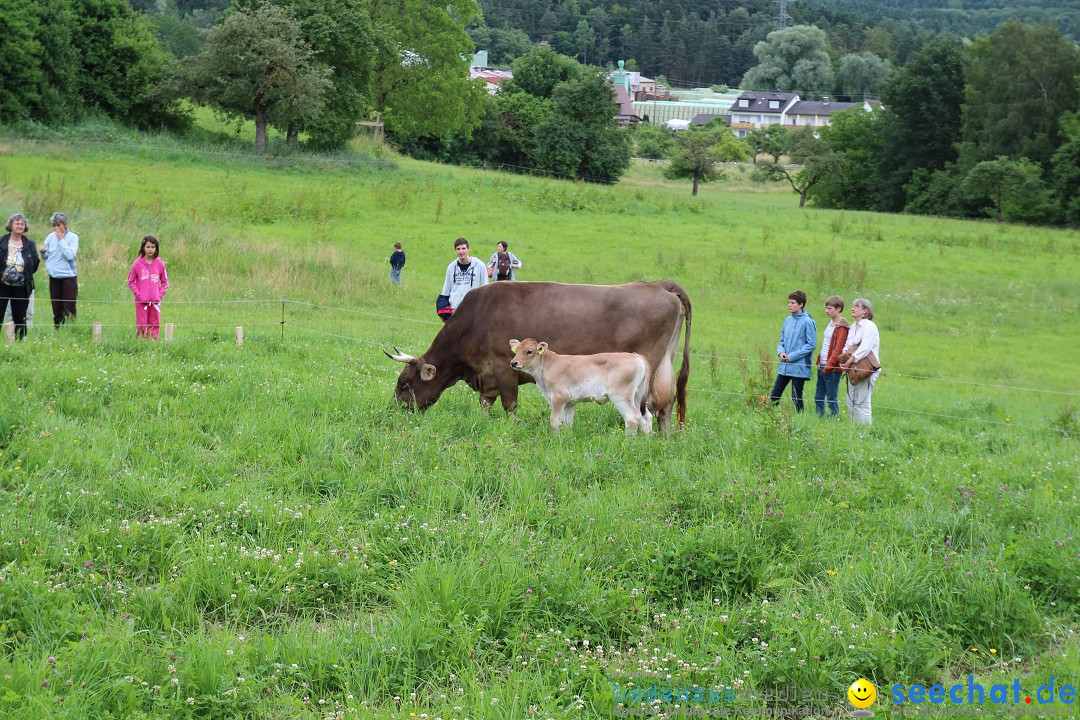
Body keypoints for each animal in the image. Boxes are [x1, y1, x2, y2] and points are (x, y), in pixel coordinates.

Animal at [505, 338, 648, 433]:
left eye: (529, 351)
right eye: (516, 350)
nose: (513, 363)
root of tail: (635, 356)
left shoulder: (559, 397)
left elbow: (554, 421)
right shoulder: (569, 402)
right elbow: (566, 422)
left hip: (620, 396)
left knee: (632, 419)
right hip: (637, 396)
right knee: (644, 416)